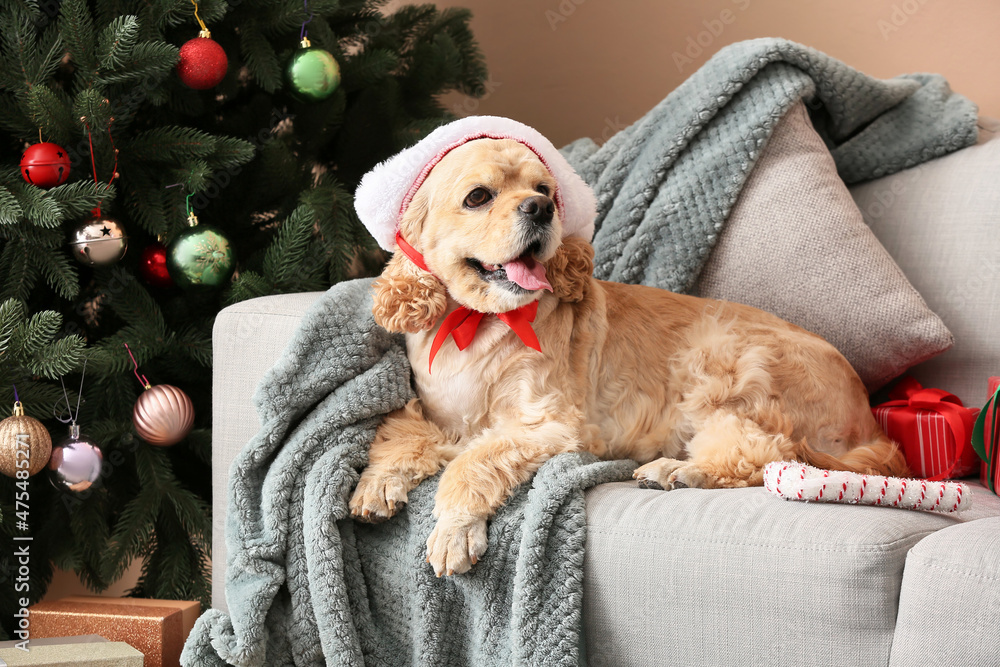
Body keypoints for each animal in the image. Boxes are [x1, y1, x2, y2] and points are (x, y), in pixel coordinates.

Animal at [348, 137, 912, 580]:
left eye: (544, 191)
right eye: (478, 197)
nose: (540, 210)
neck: (479, 323)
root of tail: (870, 422)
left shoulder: (552, 425)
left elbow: (474, 461)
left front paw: (454, 529)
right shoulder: (434, 412)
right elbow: (398, 433)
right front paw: (377, 483)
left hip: (723, 358)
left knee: (767, 453)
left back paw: (680, 471)